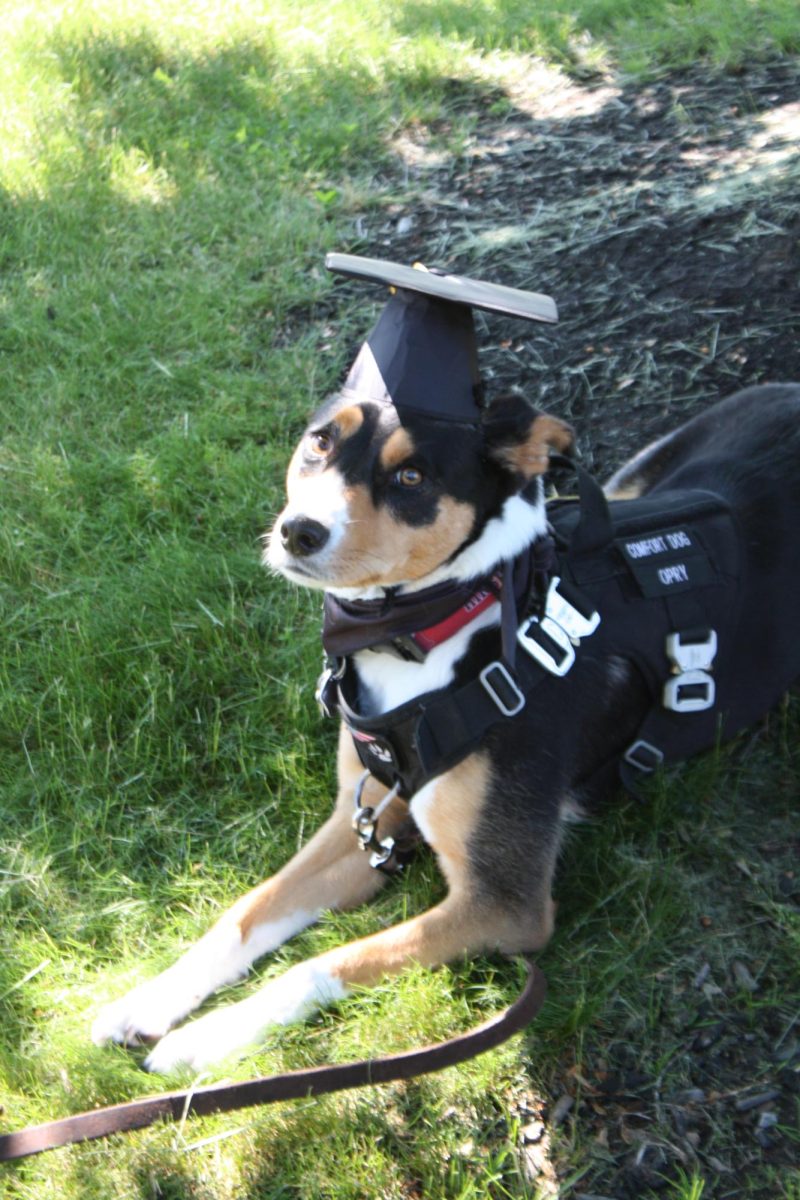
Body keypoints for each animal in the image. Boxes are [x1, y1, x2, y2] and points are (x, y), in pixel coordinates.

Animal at [92, 255, 800, 1080]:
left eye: (411, 479)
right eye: (318, 444)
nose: (299, 531)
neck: (431, 635)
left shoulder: (503, 903)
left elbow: (323, 962)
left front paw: (207, 1038)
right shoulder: (360, 820)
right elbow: (250, 907)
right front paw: (151, 999)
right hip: (639, 476)